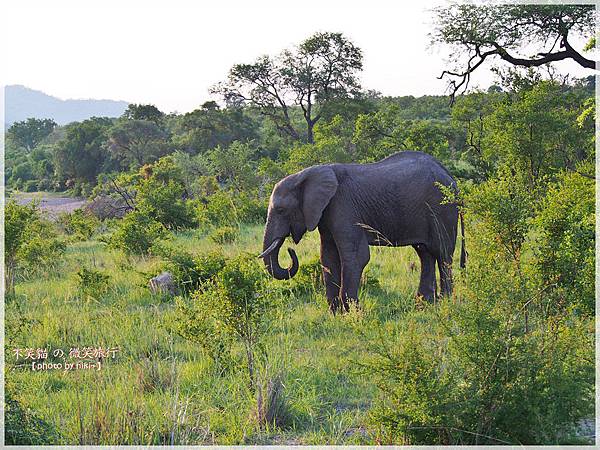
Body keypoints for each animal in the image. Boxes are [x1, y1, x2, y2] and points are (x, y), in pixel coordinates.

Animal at [258, 151, 464, 312]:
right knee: (425, 253)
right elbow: (328, 257)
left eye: (281, 210)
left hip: (442, 209)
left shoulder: (344, 208)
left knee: (442, 253)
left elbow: (356, 256)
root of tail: (450, 176)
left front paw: (351, 313)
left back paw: (445, 302)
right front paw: (335, 314)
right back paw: (424, 304)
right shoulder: (326, 213)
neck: (306, 174)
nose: (290, 250)